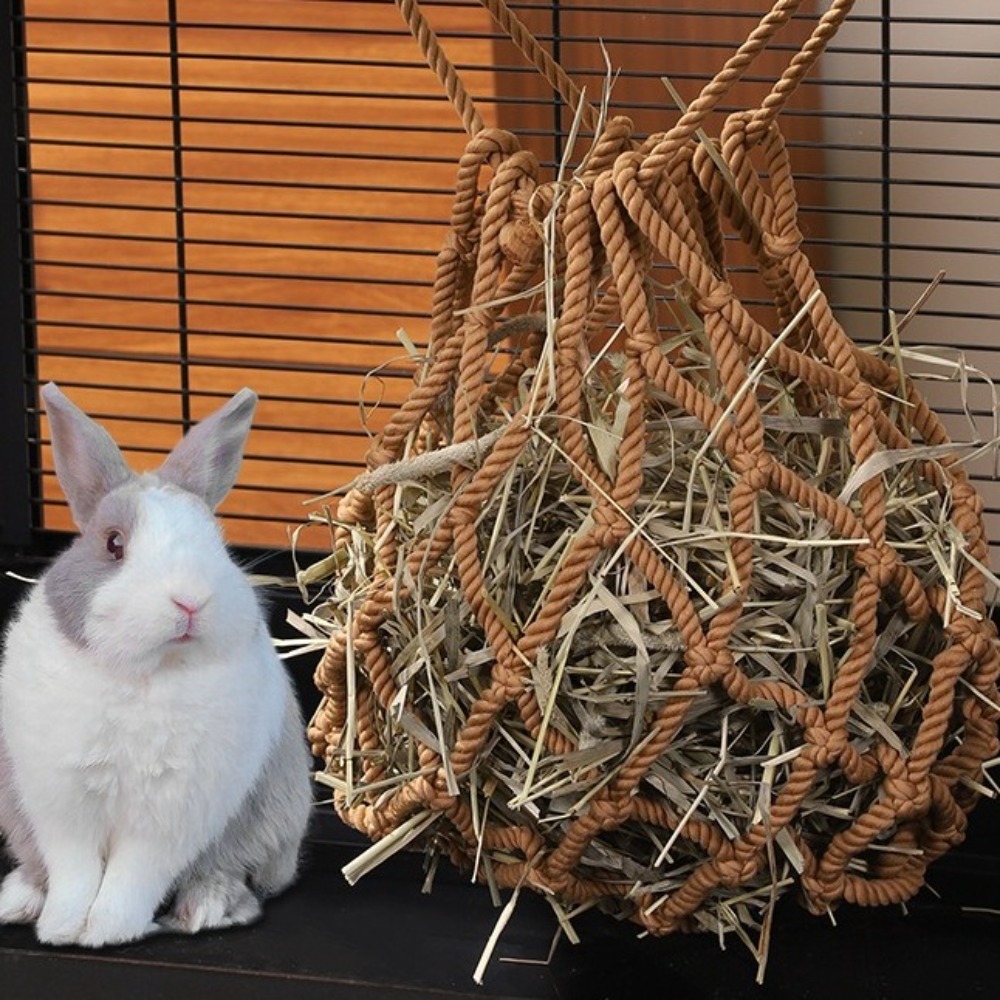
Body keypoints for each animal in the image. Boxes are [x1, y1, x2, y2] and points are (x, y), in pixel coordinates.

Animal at [0, 383, 313, 948]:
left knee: (232, 873)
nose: (189, 601)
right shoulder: (62, 806)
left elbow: (133, 877)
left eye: (217, 544)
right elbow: (75, 874)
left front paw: (107, 932)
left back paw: (207, 907)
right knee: (39, 868)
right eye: (113, 543)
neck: (143, 673)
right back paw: (19, 900)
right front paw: (61, 929)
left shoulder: (169, 818)